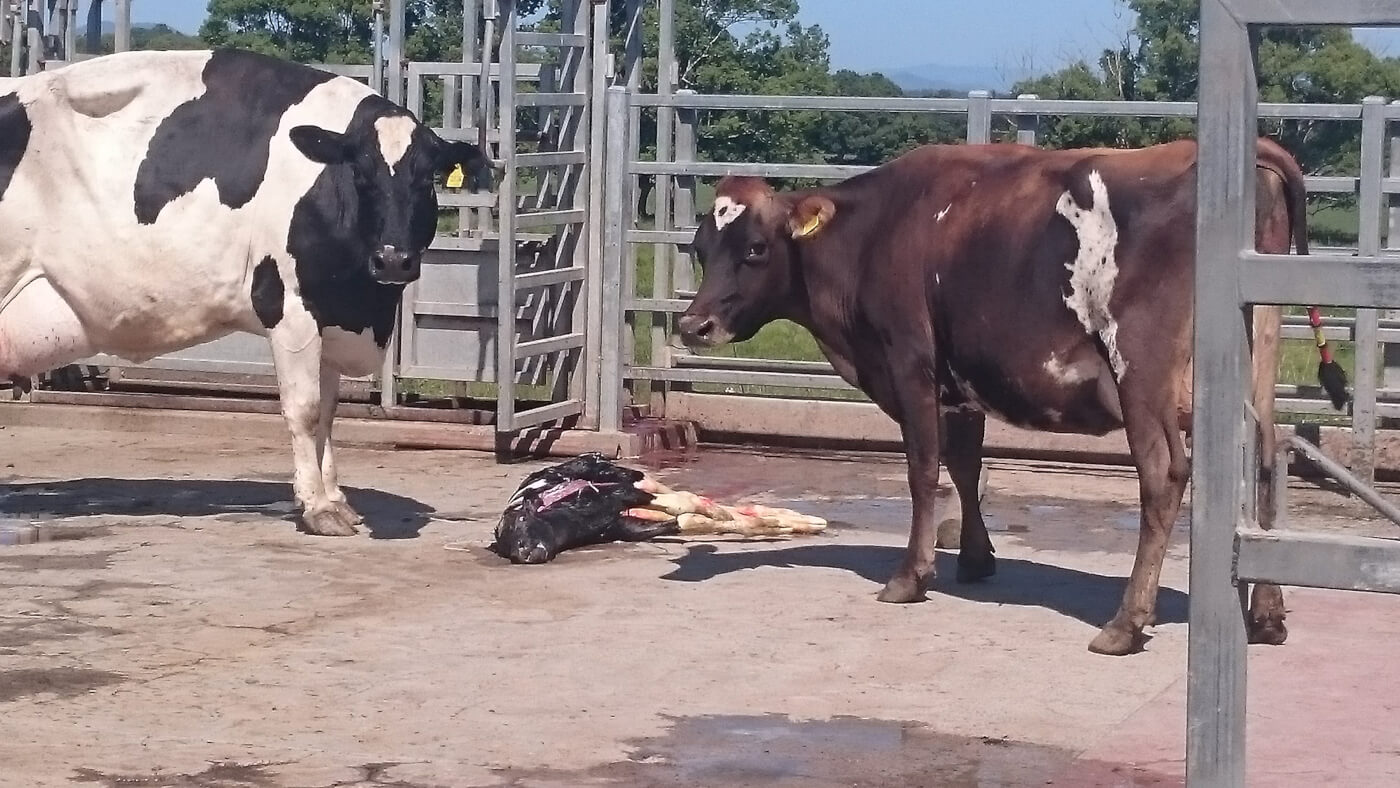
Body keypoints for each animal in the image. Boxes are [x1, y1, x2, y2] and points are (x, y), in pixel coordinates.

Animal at [0, 48, 493, 536]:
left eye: (428, 177)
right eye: (361, 172)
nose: (392, 259)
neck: (365, 308)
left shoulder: (327, 318)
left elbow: (329, 413)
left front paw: (336, 498)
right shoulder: (289, 309)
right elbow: (304, 409)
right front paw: (317, 508)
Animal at [677, 138, 1349, 656]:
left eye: (755, 248)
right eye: (700, 249)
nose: (692, 325)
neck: (875, 232)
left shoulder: (910, 363)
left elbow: (924, 470)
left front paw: (911, 576)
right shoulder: (961, 382)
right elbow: (965, 464)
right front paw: (976, 558)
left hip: (1142, 371)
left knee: (1164, 475)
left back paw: (1126, 623)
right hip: (1254, 360)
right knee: (1265, 459)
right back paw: (1266, 614)